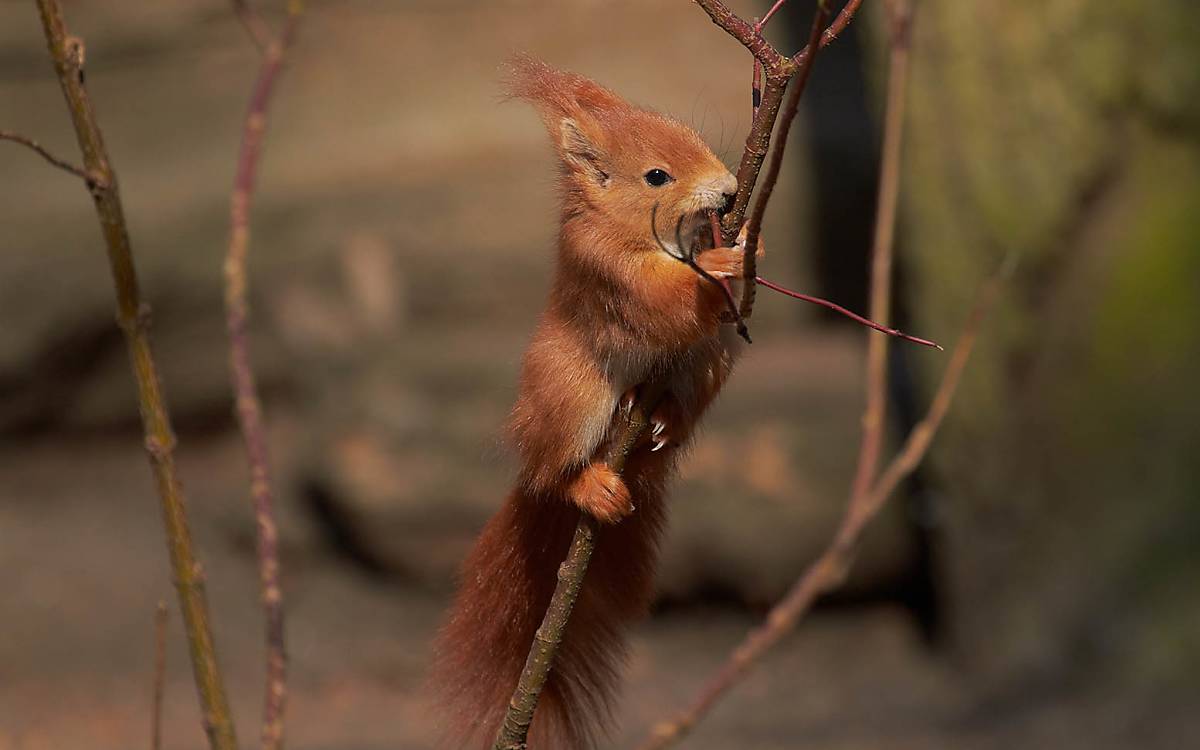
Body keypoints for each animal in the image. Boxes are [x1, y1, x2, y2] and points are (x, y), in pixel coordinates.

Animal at [432, 55, 758, 744]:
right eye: (656, 175)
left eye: (694, 137)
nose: (725, 191)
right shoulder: (602, 267)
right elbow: (659, 298)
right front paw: (720, 260)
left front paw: (743, 248)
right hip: (572, 398)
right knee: (555, 471)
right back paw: (587, 483)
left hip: (708, 367)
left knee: (686, 395)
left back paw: (662, 417)